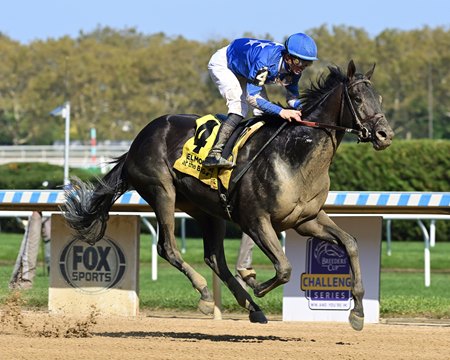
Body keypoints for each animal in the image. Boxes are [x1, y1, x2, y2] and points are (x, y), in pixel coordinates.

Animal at [62, 60, 394, 330]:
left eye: (379, 98)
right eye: (357, 98)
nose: (385, 135)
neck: (294, 154)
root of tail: (136, 142)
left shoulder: (306, 219)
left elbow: (350, 244)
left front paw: (358, 312)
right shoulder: (255, 220)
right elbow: (284, 268)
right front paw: (257, 283)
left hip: (206, 210)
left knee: (214, 258)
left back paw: (252, 308)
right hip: (161, 191)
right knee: (168, 247)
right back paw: (207, 294)